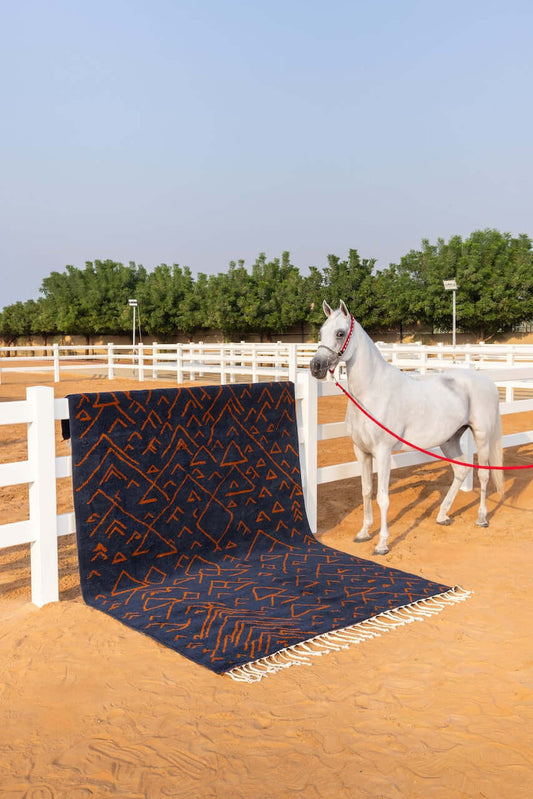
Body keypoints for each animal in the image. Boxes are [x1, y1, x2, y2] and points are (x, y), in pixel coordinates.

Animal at [309, 300, 503, 555]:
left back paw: (481, 519)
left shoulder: (382, 452)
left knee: (483, 474)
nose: (315, 367)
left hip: (481, 436)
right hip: (450, 439)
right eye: (321, 332)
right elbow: (366, 491)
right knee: (461, 470)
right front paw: (363, 533)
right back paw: (442, 515)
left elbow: (382, 497)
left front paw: (382, 544)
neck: (372, 391)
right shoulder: (361, 451)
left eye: (340, 333)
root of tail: (487, 381)